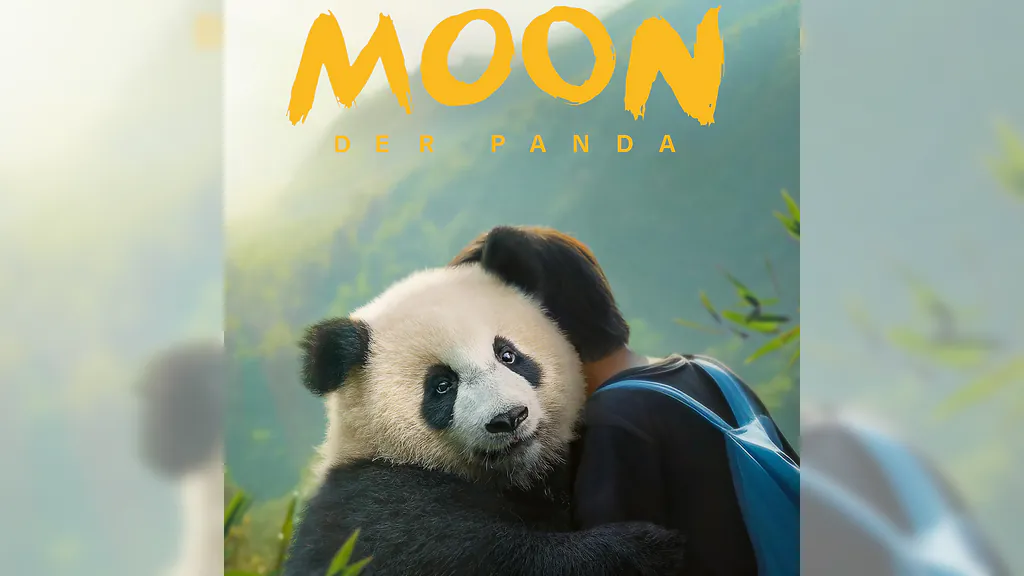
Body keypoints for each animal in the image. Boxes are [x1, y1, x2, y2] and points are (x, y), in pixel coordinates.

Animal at [284, 248, 686, 576]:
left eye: (507, 354)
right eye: (441, 386)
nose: (509, 418)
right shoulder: (374, 507)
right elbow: (473, 554)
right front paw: (643, 548)